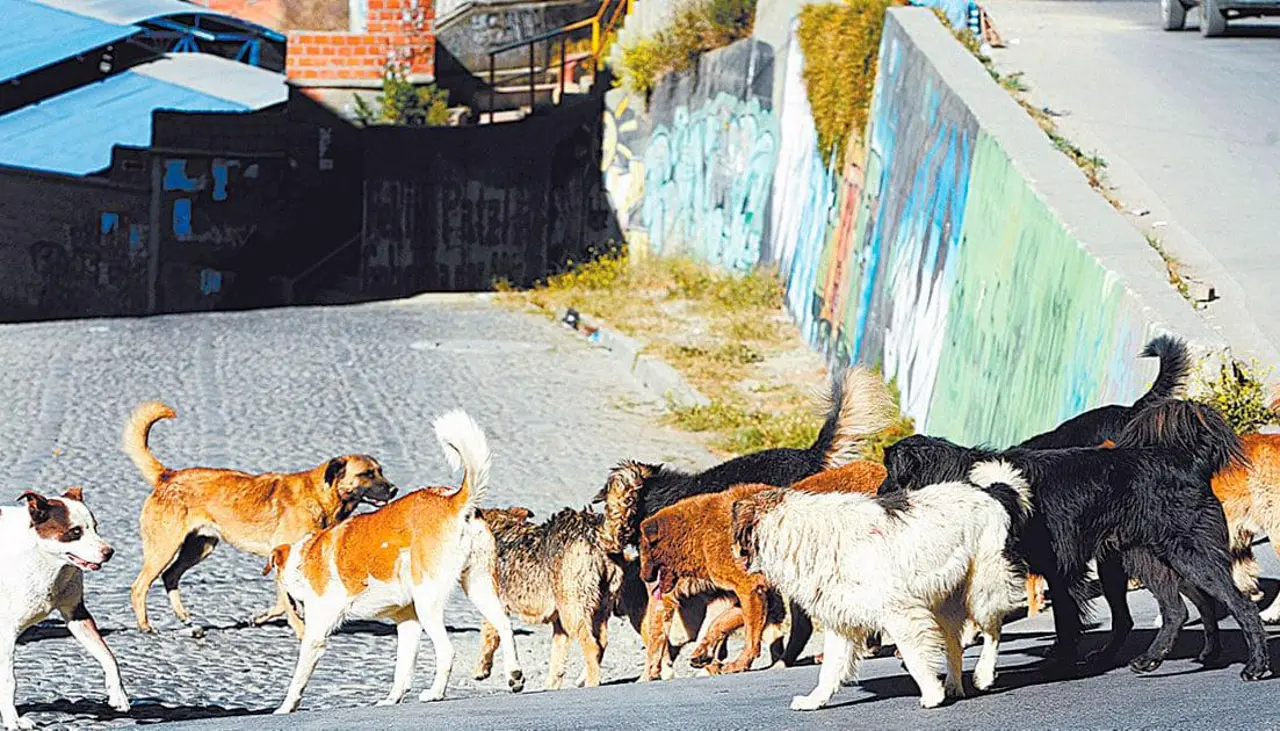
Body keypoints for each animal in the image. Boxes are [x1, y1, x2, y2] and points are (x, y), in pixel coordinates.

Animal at [0, 489, 129, 727]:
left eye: (95, 526)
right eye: (75, 531)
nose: (109, 552)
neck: (42, 558)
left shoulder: (76, 614)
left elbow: (108, 656)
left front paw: (118, 694)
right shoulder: (5, 633)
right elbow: (8, 681)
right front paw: (13, 721)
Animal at [125, 399, 396, 634]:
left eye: (381, 471)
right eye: (367, 474)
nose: (394, 490)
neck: (320, 496)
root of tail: (168, 476)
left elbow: (284, 604)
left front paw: (260, 618)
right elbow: (288, 605)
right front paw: (300, 631)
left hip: (200, 547)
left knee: (170, 576)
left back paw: (184, 617)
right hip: (164, 548)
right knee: (140, 586)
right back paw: (145, 626)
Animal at [264, 412, 524, 716]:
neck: (307, 556)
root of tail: (454, 501)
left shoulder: (316, 634)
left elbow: (297, 681)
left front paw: (284, 708)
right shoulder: (407, 621)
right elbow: (402, 671)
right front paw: (392, 700)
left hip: (428, 602)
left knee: (447, 651)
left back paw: (435, 694)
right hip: (478, 586)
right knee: (504, 625)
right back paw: (515, 676)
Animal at [880, 399, 1269, 681]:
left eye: (890, 473)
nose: (879, 492)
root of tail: (1188, 461)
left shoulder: (1059, 570)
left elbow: (1066, 622)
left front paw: (1061, 664)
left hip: (1186, 554)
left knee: (1237, 605)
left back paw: (1255, 665)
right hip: (1145, 557)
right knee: (1179, 609)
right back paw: (1169, 657)